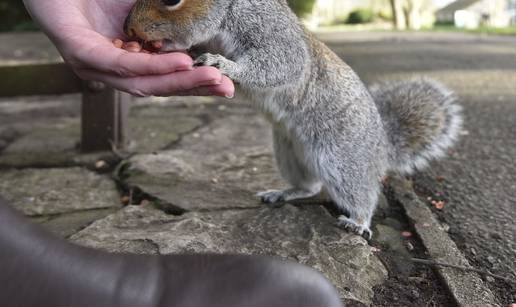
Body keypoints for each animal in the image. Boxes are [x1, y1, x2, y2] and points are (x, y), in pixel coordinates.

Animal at [124, 0, 464, 238]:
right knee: (309, 186)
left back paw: (357, 221)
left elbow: (283, 63)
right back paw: (283, 193)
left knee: (361, 192)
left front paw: (223, 64)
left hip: (343, 159)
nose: (129, 29)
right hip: (289, 151)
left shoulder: (267, 30)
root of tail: (382, 144)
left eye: (171, 0)